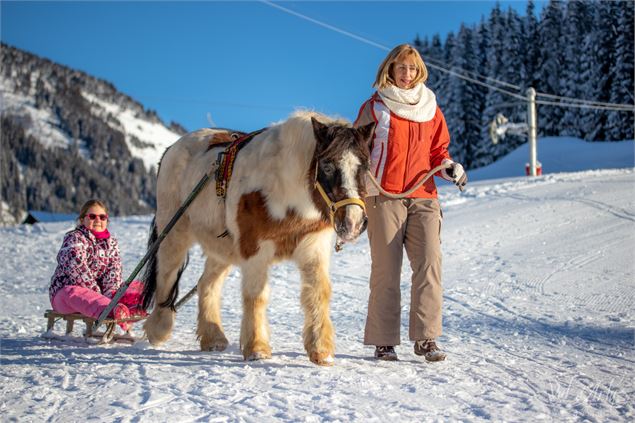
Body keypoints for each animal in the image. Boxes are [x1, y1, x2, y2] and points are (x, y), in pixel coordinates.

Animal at [141, 111, 376, 366]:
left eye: (365, 166)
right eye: (327, 165)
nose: (353, 222)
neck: (285, 190)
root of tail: (172, 149)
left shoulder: (313, 246)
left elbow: (318, 292)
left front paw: (321, 350)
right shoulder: (254, 248)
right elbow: (256, 295)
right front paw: (257, 348)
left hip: (222, 248)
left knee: (207, 284)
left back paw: (213, 337)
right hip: (174, 232)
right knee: (167, 273)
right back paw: (159, 329)